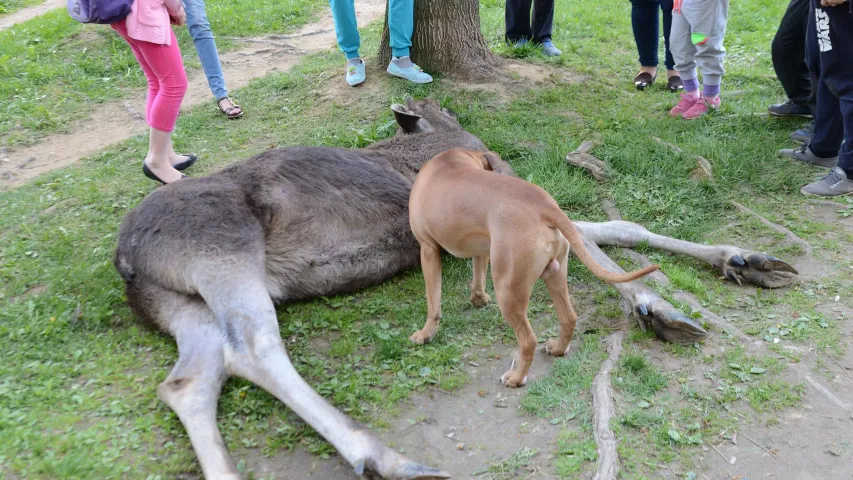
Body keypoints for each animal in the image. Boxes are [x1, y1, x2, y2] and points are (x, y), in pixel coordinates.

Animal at [406, 148, 660, 388]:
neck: (450, 160)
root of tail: (545, 206)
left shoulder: (428, 250)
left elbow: (433, 302)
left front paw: (426, 334)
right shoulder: (482, 249)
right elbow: (478, 277)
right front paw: (478, 299)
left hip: (508, 292)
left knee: (528, 340)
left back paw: (517, 378)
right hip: (555, 276)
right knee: (569, 318)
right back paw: (557, 349)